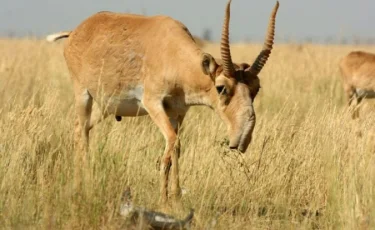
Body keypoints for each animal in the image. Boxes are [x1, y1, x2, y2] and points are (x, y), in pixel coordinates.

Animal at [47, 0, 280, 202]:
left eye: (256, 88)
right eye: (221, 87)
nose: (242, 138)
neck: (173, 55)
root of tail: (75, 32)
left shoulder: (178, 112)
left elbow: (177, 148)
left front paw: (176, 197)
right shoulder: (153, 104)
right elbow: (171, 143)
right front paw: (163, 200)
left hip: (105, 107)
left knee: (82, 127)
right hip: (82, 94)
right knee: (80, 131)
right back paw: (82, 185)